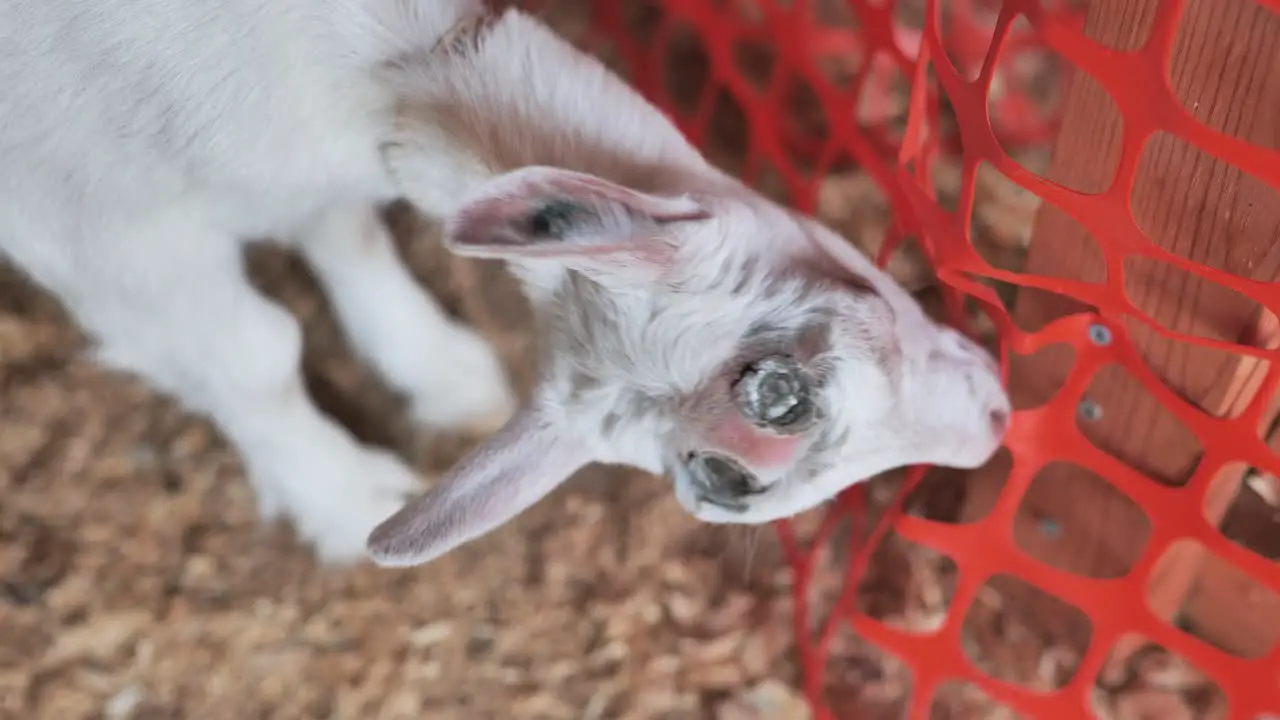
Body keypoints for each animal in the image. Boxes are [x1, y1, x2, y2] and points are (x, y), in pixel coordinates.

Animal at [0, 0, 1008, 566]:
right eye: (782, 403)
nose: (997, 423)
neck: (399, 70)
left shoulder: (299, 167)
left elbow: (345, 227)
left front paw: (442, 371)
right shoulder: (107, 229)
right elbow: (255, 356)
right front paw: (344, 497)